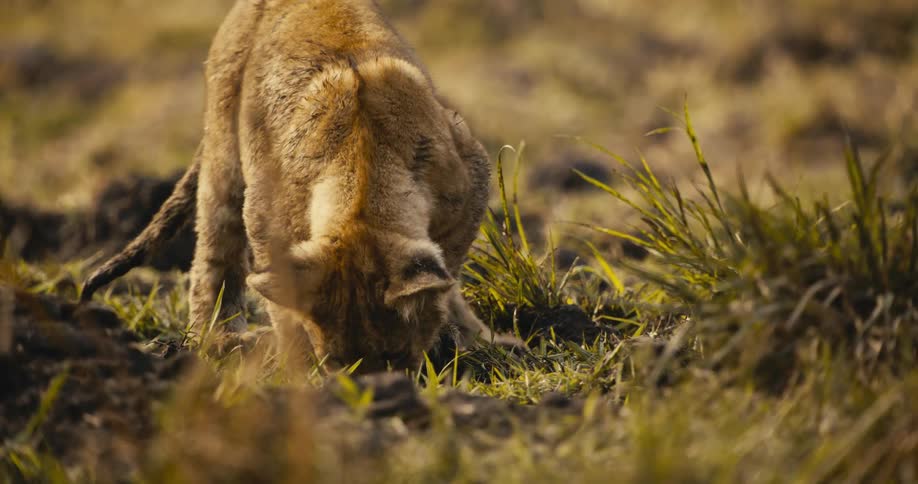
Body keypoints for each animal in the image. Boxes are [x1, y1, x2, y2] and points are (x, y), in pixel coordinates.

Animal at [79, 0, 516, 372]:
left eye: (394, 356)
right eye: (337, 362)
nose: (375, 385)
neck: (364, 183)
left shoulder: (472, 174)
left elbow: (448, 270)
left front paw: (456, 331)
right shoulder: (265, 218)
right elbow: (283, 301)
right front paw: (298, 368)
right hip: (223, 150)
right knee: (213, 252)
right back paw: (219, 339)